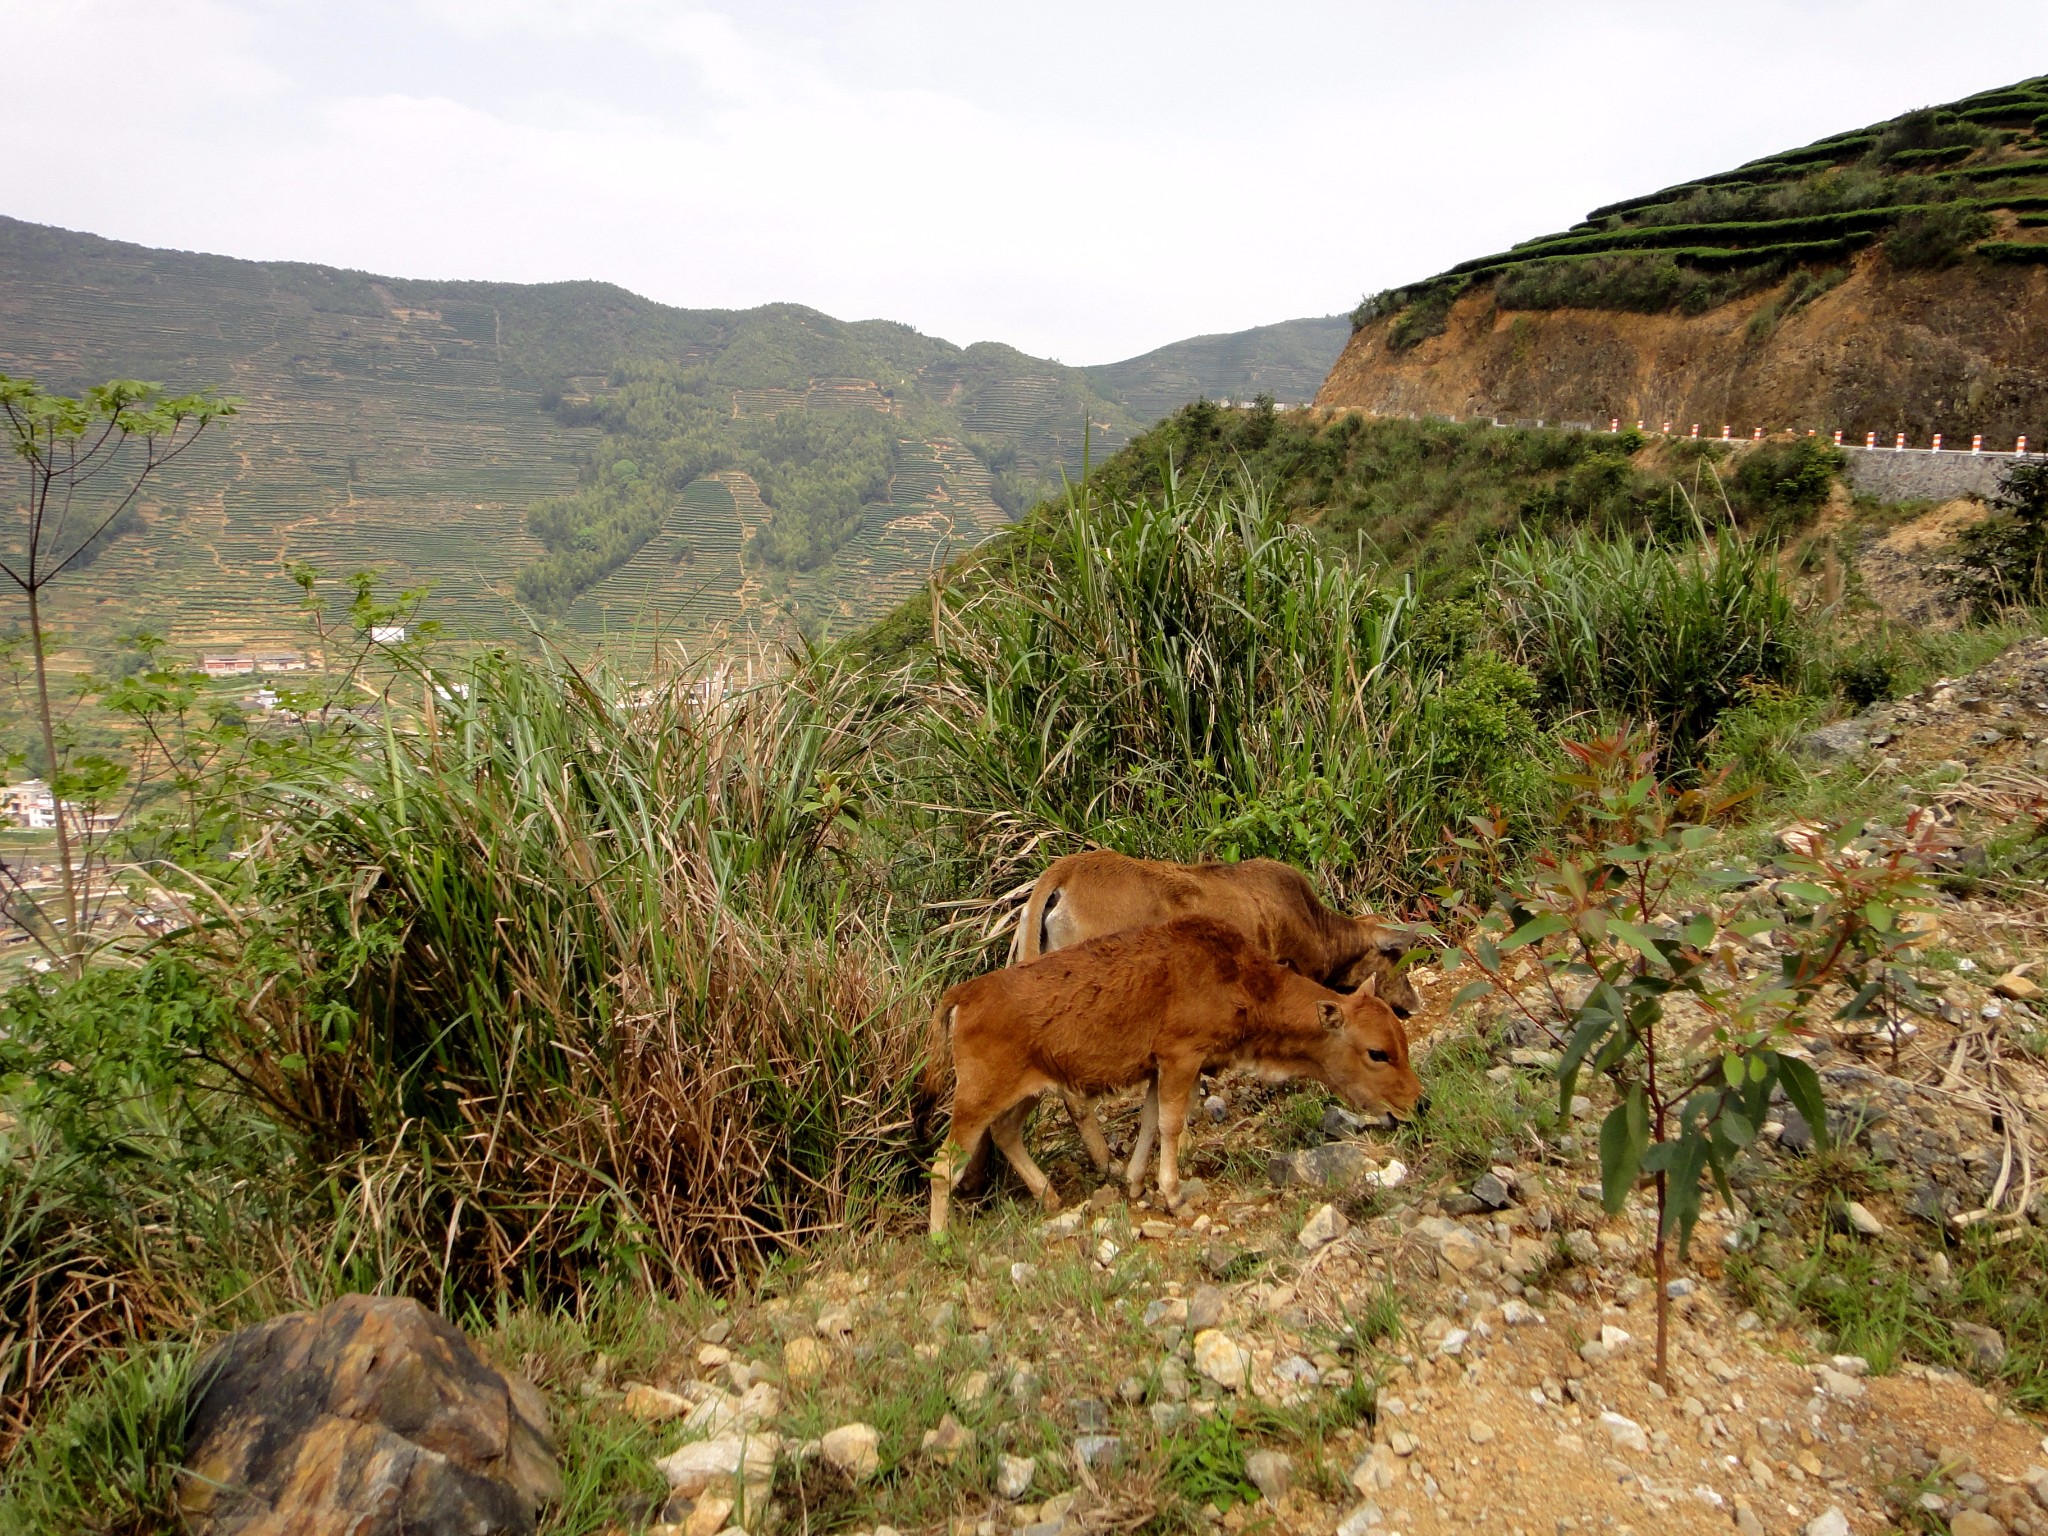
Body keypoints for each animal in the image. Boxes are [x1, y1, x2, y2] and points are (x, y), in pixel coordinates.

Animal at [933, 913, 1425, 1236]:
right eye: (1378, 1053)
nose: (1417, 1101)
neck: (1238, 977)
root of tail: (963, 994)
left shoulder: (1159, 1070)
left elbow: (1151, 1122)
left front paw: (1133, 1183)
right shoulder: (1181, 1059)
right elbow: (1171, 1124)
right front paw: (1171, 1196)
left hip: (1028, 1092)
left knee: (1005, 1133)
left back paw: (1050, 1196)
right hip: (977, 1099)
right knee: (945, 1164)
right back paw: (941, 1237)